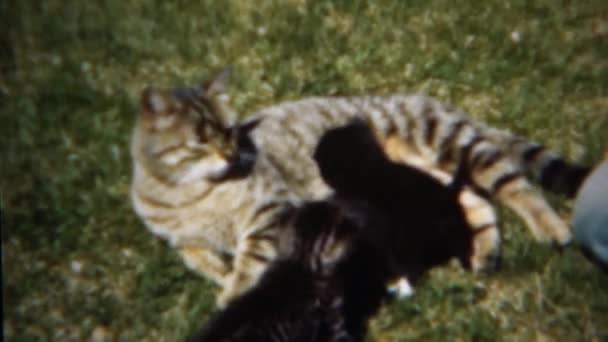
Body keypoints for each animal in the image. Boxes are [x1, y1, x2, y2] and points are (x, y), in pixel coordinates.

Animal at [131, 68, 592, 306]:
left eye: (229, 131)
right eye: (201, 140)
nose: (230, 152)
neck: (187, 193)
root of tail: (436, 102)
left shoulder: (270, 211)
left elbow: (250, 259)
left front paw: (233, 293)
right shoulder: (180, 239)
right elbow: (196, 255)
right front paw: (220, 272)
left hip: (453, 143)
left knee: (515, 184)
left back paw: (551, 227)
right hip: (428, 173)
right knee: (475, 200)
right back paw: (484, 251)